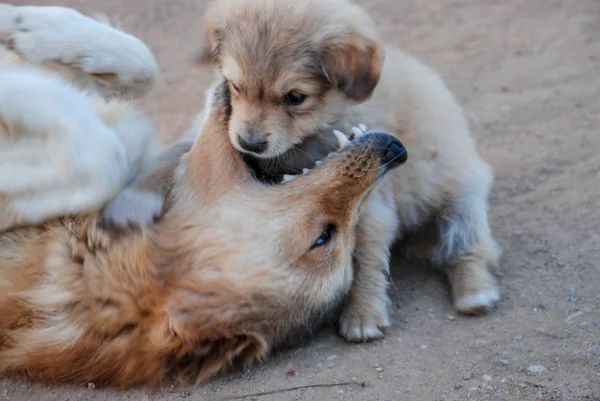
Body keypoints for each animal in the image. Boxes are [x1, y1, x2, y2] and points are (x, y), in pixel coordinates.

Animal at [199, 0, 504, 340]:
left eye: (295, 97)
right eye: (235, 85)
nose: (249, 144)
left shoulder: (372, 205)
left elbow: (364, 262)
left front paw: (363, 315)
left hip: (463, 198)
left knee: (468, 247)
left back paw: (474, 293)